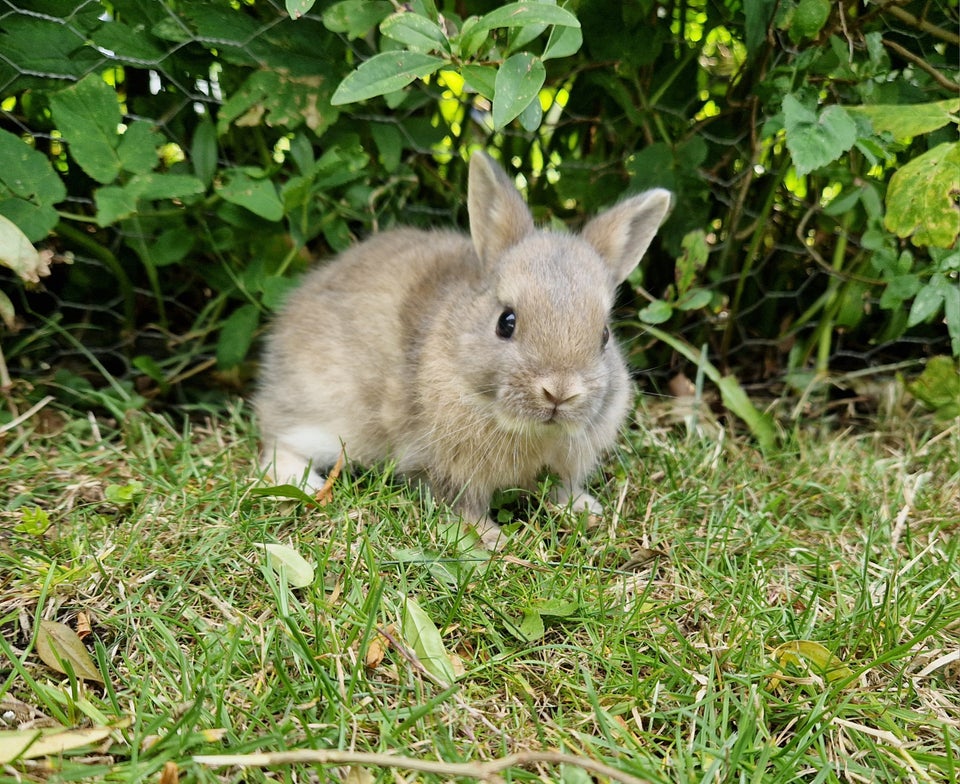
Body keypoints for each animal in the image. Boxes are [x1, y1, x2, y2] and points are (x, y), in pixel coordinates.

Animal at [256, 150, 676, 548]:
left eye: (604, 335)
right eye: (506, 322)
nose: (559, 392)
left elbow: (562, 489)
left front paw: (585, 510)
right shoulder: (447, 467)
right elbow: (463, 505)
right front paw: (491, 538)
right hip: (325, 412)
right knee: (276, 441)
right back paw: (305, 484)